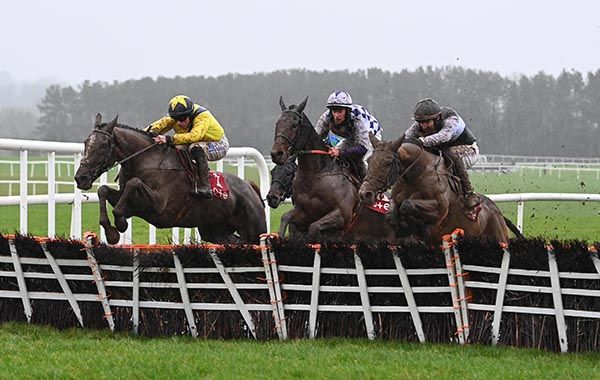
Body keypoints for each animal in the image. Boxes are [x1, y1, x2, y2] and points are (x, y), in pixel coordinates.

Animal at [74, 113, 266, 243]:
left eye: (103, 145)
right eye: (85, 143)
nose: (80, 178)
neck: (147, 161)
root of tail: (249, 187)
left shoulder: (159, 207)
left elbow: (133, 183)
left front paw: (120, 223)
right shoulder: (134, 205)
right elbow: (103, 190)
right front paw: (111, 232)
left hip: (254, 231)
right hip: (214, 231)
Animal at [268, 97, 392, 240]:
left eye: (294, 125)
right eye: (277, 124)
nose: (276, 154)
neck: (315, 176)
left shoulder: (342, 216)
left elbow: (314, 228)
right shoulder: (304, 213)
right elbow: (285, 217)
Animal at [358, 135, 524, 245]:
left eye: (387, 163)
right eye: (369, 160)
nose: (365, 193)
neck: (417, 174)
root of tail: (498, 213)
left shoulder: (439, 210)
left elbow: (408, 204)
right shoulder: (395, 200)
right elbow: (392, 214)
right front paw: (403, 226)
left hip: (499, 238)